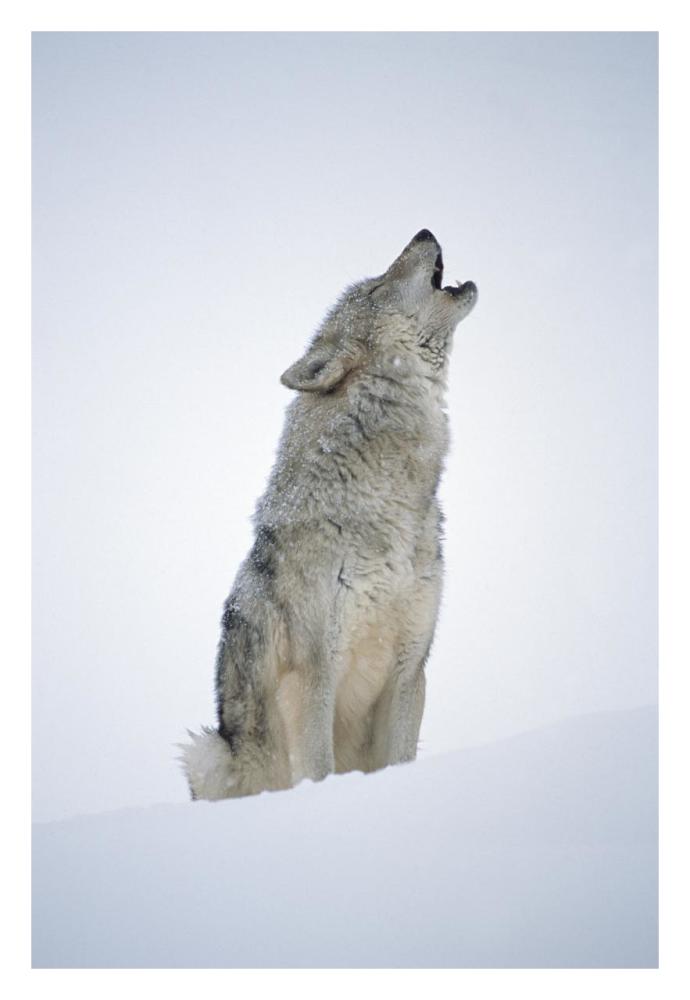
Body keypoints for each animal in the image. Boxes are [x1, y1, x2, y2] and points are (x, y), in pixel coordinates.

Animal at [180, 229, 477, 800]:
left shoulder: (410, 670)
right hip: (206, 751)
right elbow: (317, 767)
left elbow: (400, 758)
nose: (424, 232)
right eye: (378, 287)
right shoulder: (312, 676)